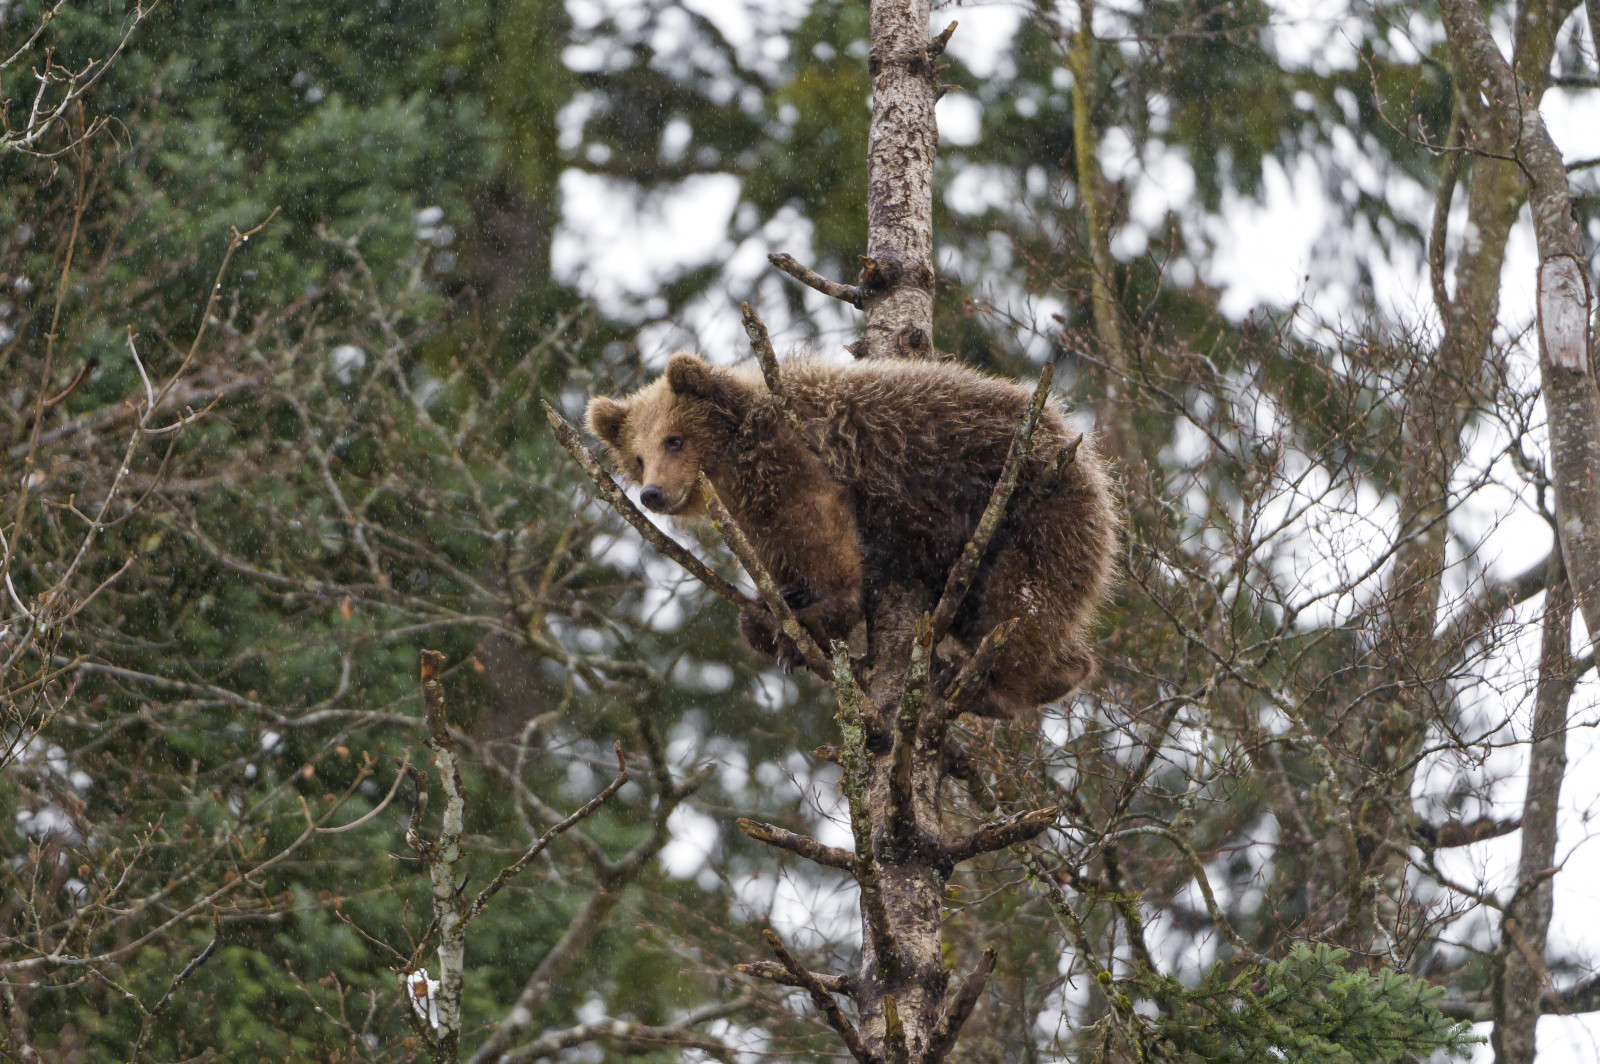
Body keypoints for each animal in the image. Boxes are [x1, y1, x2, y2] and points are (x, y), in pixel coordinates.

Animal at [584, 352, 1119, 719]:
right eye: (637, 456)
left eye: (674, 440)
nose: (653, 493)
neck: (734, 463)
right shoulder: (751, 513)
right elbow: (778, 559)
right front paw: (769, 613)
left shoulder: (794, 458)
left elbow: (825, 533)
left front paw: (814, 620)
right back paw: (1057, 671)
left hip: (1037, 510)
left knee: (1023, 602)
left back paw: (984, 684)